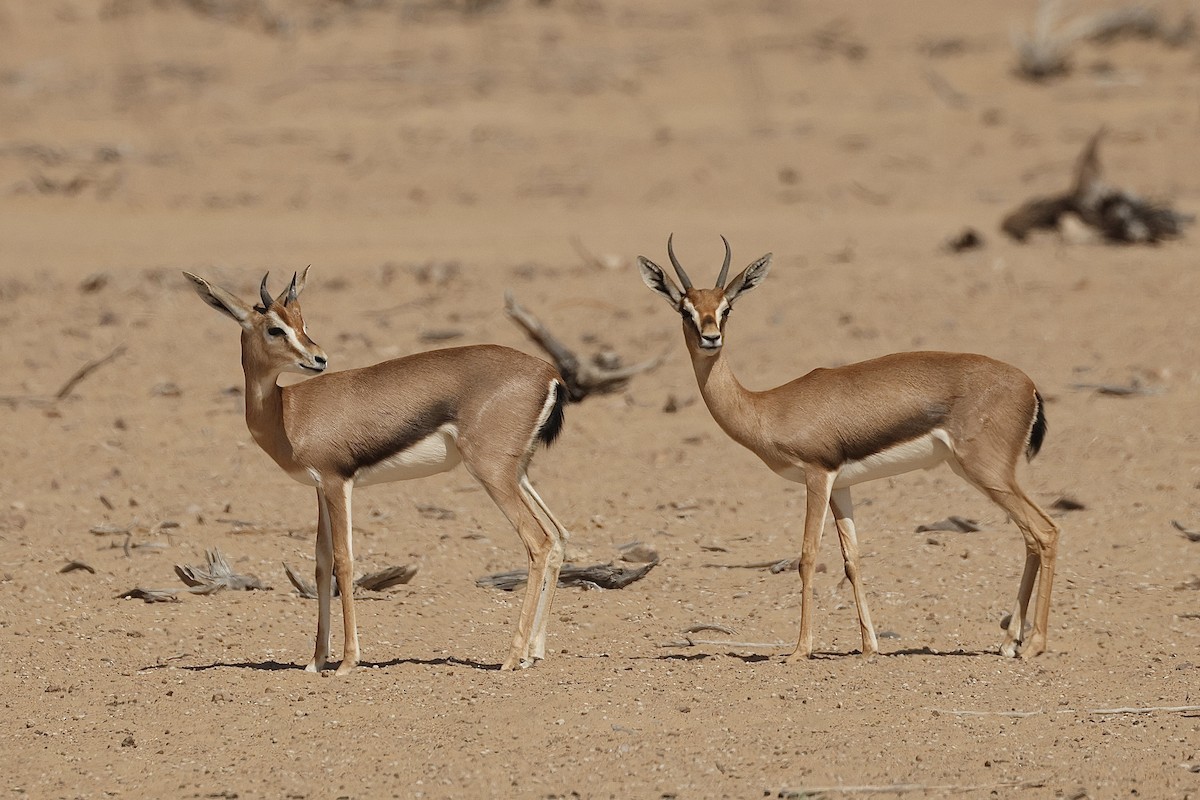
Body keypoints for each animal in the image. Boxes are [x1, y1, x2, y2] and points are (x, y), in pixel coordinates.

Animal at [183, 268, 570, 675]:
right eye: (277, 327)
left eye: (301, 323)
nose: (319, 358)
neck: (287, 411)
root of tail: (549, 374)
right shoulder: (319, 488)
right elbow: (321, 563)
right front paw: (315, 661)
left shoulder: (337, 482)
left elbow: (344, 561)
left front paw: (347, 662)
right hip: (518, 472)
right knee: (558, 534)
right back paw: (533, 652)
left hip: (492, 472)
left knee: (538, 541)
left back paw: (511, 657)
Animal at [638, 236, 1060, 660]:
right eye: (686, 309)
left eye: (727, 307)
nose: (711, 338)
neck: (767, 408)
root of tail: (1029, 385)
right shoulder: (841, 485)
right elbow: (852, 559)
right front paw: (869, 646)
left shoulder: (817, 475)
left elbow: (807, 556)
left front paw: (800, 650)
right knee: (1031, 536)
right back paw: (1009, 642)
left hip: (986, 472)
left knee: (1045, 531)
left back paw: (1034, 644)